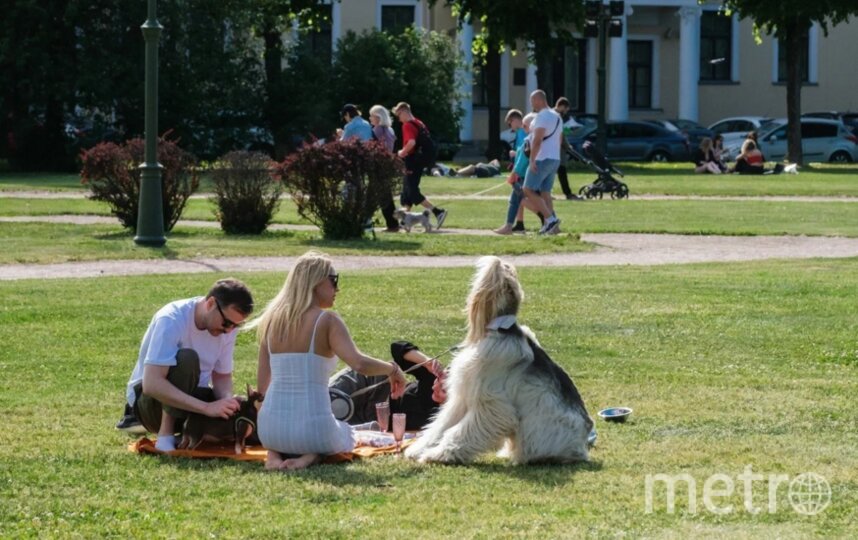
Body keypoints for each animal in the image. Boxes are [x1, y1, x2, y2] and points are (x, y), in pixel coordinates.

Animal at [404, 255, 592, 462]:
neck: (502, 330)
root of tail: (582, 448)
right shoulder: (463, 395)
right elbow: (441, 425)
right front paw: (418, 449)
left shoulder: (491, 403)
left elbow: (460, 432)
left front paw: (439, 454)